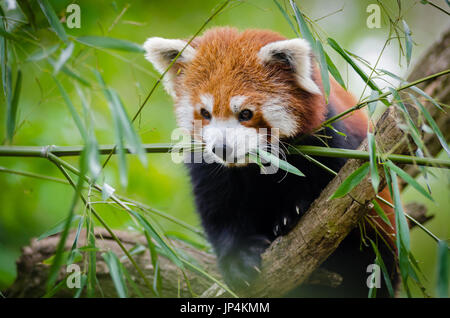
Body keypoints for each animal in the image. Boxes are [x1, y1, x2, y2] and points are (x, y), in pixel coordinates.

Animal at [143, 28, 398, 298]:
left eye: (245, 113)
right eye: (205, 113)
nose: (221, 148)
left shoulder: (331, 138)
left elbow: (339, 193)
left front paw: (294, 211)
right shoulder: (207, 165)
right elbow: (219, 210)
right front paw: (239, 259)